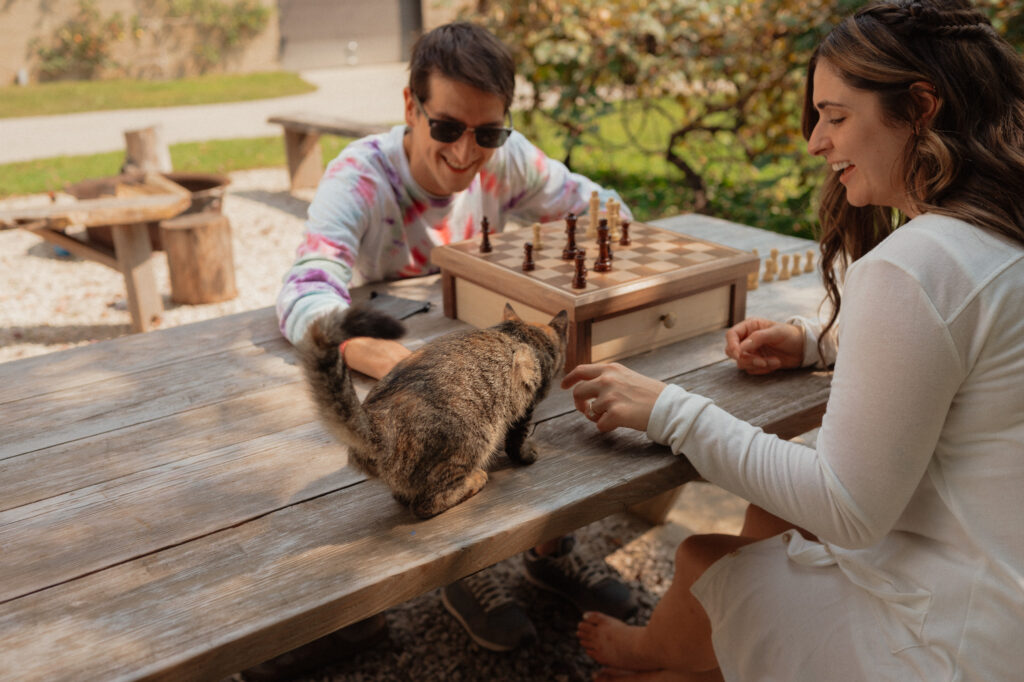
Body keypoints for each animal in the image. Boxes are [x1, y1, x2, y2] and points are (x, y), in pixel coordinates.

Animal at [299, 301, 569, 516]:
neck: (522, 334)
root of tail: (374, 422)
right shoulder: (526, 405)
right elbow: (516, 440)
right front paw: (526, 454)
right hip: (473, 440)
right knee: (427, 504)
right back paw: (475, 479)